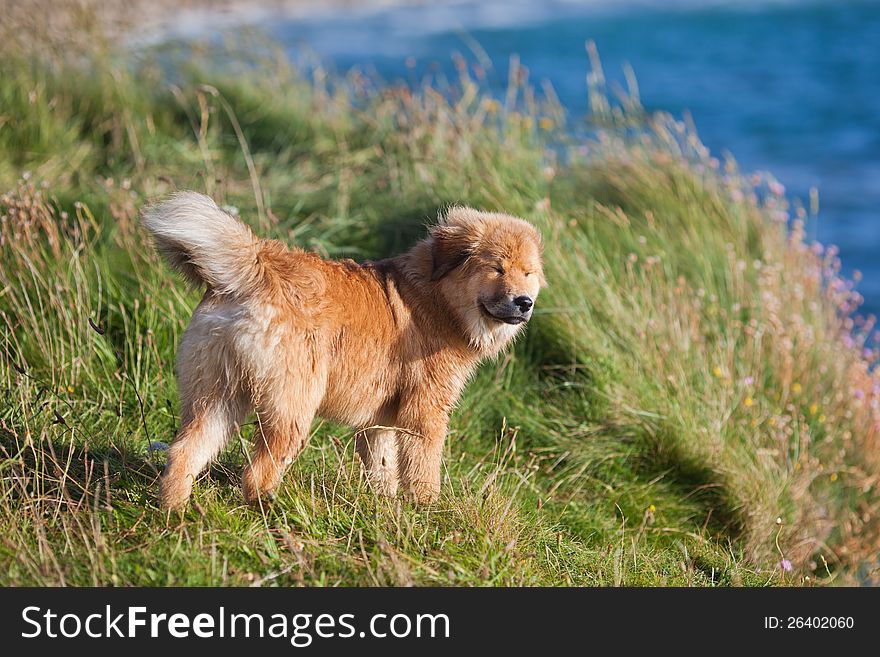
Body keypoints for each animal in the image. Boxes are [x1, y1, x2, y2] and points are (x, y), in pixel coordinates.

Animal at [143, 192, 544, 510]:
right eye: (496, 268)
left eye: (528, 273)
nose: (524, 303)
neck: (437, 298)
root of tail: (258, 266)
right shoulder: (424, 412)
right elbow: (422, 469)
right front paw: (428, 511)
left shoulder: (379, 420)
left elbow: (383, 470)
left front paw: (386, 510)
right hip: (292, 406)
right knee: (257, 474)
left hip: (216, 397)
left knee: (184, 452)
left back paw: (176, 513)